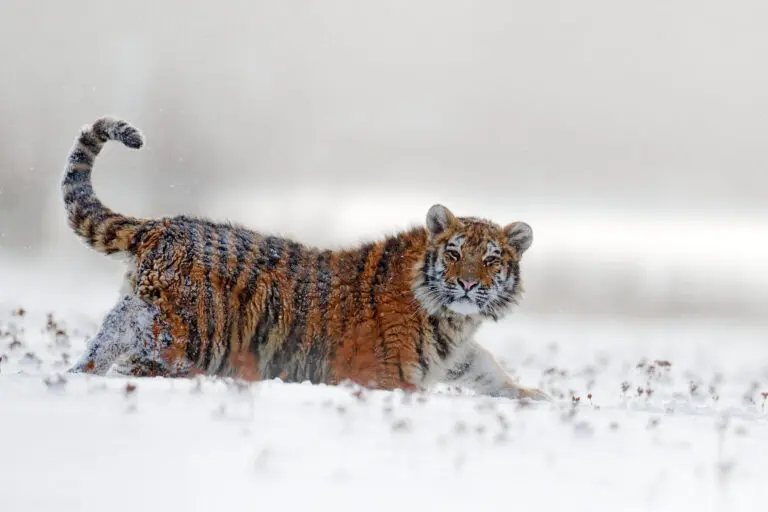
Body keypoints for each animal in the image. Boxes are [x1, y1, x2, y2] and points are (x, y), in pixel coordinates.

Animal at [62, 116, 550, 401]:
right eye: (454, 253)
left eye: (490, 260)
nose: (468, 284)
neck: (453, 319)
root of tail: (163, 224)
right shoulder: (383, 375)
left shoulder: (459, 354)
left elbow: (490, 371)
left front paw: (534, 396)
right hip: (189, 332)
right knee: (143, 362)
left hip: (141, 312)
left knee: (105, 341)